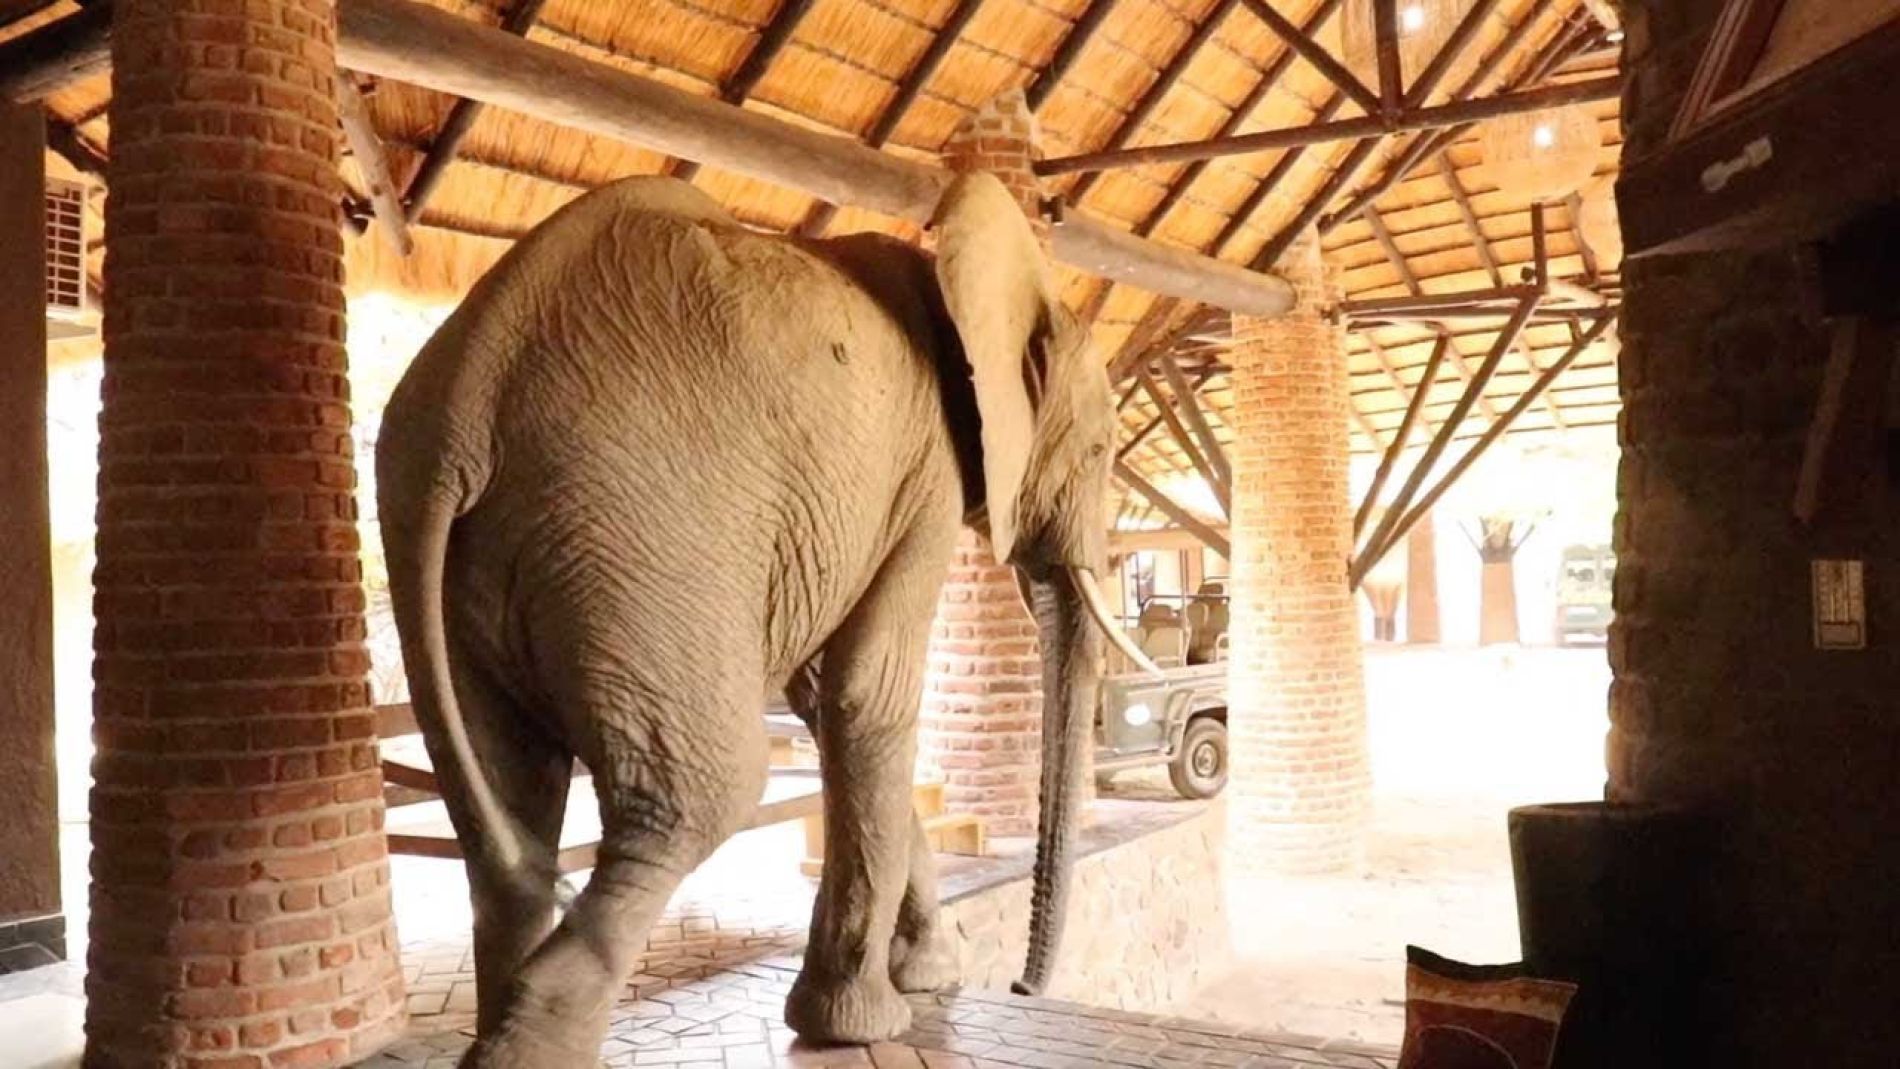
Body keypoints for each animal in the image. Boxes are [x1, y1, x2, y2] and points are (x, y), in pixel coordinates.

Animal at [376, 170, 1158, 1068]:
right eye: (1100, 453)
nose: (1026, 988)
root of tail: (461, 408)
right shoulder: (923, 476)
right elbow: (870, 696)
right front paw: (862, 1022)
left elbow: (827, 702)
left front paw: (927, 977)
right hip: (637, 536)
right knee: (702, 793)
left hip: (467, 573)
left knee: (509, 806)